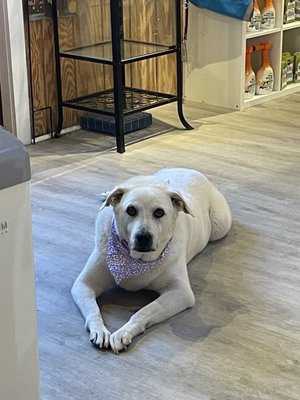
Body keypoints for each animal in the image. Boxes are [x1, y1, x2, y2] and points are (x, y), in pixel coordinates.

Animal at [71, 168, 231, 354]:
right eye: (131, 210)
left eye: (159, 212)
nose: (143, 237)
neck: (136, 260)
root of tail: (188, 169)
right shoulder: (84, 284)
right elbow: (93, 310)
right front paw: (99, 331)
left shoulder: (181, 293)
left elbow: (143, 312)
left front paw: (123, 333)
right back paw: (107, 194)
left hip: (221, 224)